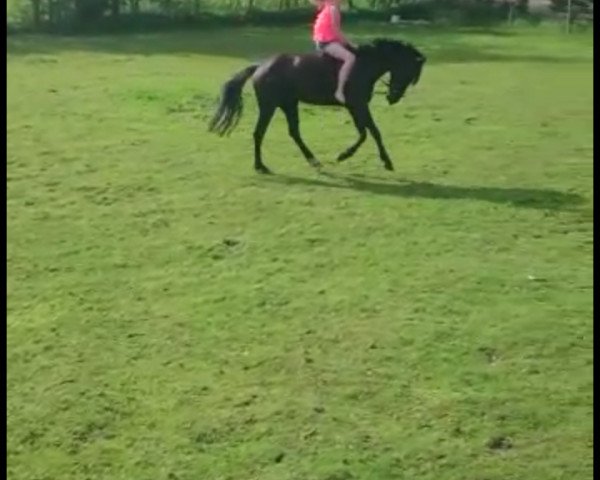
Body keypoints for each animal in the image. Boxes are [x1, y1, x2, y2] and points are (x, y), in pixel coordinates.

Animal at [209, 38, 424, 172]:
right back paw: (260, 166)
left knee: (294, 132)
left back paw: (313, 161)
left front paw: (385, 162)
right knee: (259, 133)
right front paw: (345, 155)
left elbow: (371, 131)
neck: (363, 64)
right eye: (408, 72)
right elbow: (367, 132)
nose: (393, 98)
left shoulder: (359, 106)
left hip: (289, 104)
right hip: (269, 106)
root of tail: (260, 66)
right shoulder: (357, 105)